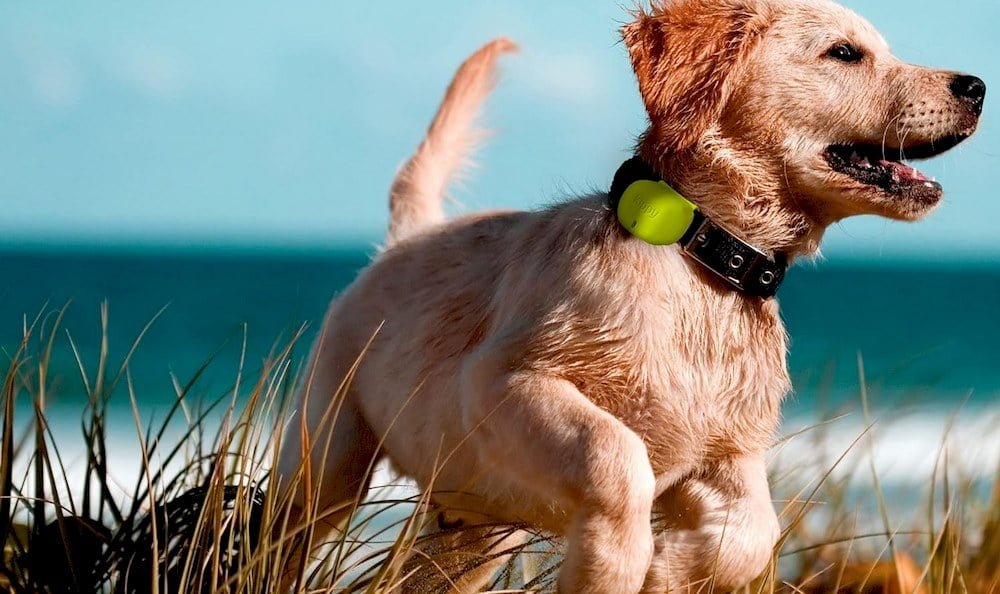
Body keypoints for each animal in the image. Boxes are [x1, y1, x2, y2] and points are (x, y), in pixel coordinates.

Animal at [276, 2, 984, 588]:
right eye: (844, 52)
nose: (976, 87)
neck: (702, 254)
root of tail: (407, 238)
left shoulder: (729, 450)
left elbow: (755, 534)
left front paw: (668, 569)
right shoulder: (504, 380)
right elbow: (617, 459)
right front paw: (623, 561)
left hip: (477, 530)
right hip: (327, 454)